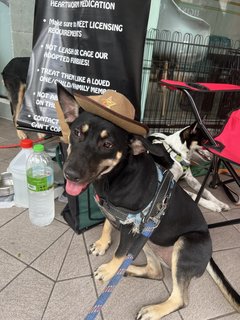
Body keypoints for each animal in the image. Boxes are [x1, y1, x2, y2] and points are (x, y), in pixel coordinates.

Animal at [56, 84, 240, 318]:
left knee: (180, 299)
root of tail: (209, 257)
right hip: (147, 240)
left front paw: (108, 269)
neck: (115, 177)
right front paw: (102, 244)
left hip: (182, 243)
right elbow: (107, 224)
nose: (70, 174)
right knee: (156, 271)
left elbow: (119, 253)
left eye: (107, 144)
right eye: (77, 132)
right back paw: (127, 270)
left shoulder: (130, 229)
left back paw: (153, 308)